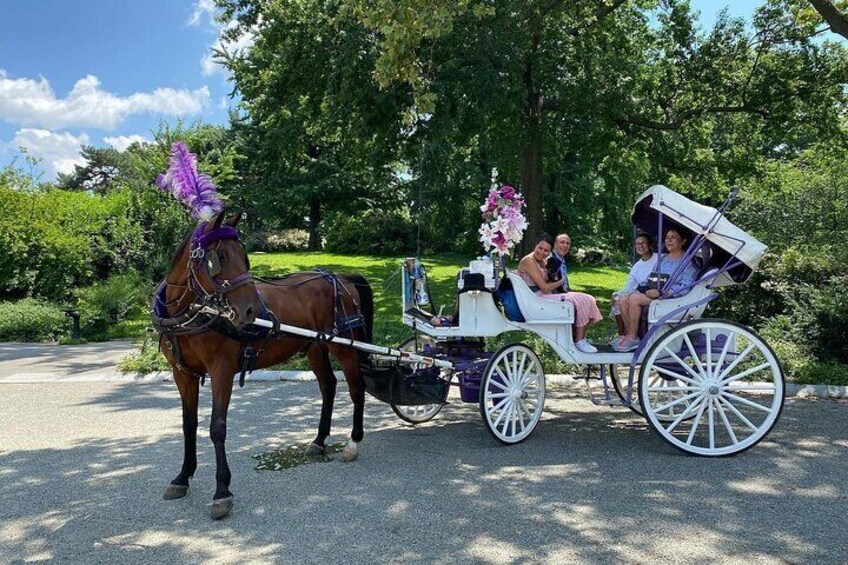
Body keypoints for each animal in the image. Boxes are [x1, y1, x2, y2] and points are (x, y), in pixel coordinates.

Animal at [154, 213, 372, 520]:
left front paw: (222, 492)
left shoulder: (222, 371)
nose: (251, 311)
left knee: (356, 388)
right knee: (328, 386)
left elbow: (217, 427)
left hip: (344, 345)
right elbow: (189, 425)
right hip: (315, 347)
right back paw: (318, 441)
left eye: (244, 256)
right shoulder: (182, 374)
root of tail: (340, 277)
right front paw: (182, 477)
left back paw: (353, 443)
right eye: (218, 257)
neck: (192, 314)